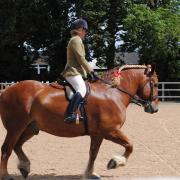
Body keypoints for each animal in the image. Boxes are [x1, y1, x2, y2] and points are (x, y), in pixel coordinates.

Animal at [0, 65, 158, 180]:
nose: (155, 108)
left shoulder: (98, 134)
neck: (113, 93)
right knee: (7, 149)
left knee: (17, 146)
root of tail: (6, 90)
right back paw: (6, 175)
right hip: (15, 128)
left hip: (30, 129)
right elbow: (130, 145)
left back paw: (24, 167)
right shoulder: (111, 131)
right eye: (155, 84)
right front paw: (115, 162)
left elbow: (93, 153)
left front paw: (90, 174)